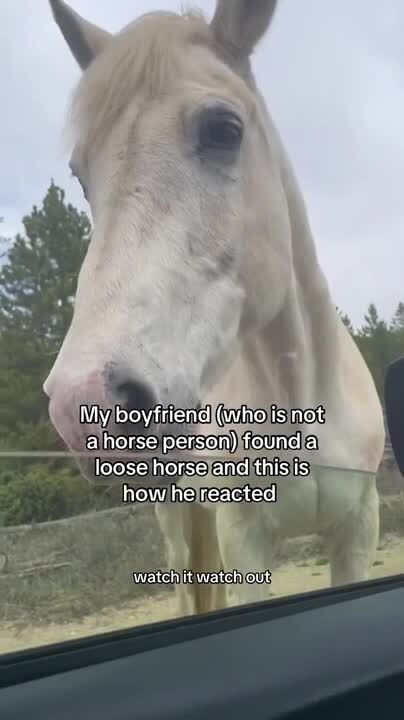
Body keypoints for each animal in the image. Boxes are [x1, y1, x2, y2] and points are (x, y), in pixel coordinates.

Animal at [46, 0, 385, 616]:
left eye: (224, 130)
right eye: (82, 175)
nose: (84, 406)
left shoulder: (358, 527)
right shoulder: (245, 538)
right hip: (177, 519)